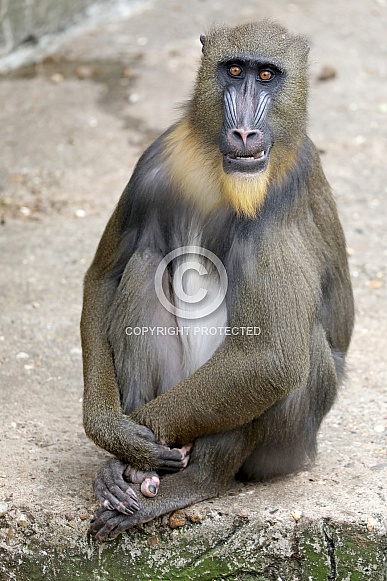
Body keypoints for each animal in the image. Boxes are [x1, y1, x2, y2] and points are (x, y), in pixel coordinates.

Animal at [81, 21, 354, 540]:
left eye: (266, 75)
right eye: (233, 71)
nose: (244, 130)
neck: (217, 171)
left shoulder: (278, 200)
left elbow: (270, 358)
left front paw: (129, 449)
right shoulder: (152, 163)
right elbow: (103, 279)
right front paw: (118, 436)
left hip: (287, 444)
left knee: (293, 350)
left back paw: (187, 481)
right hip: (178, 383)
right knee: (144, 264)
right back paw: (137, 472)